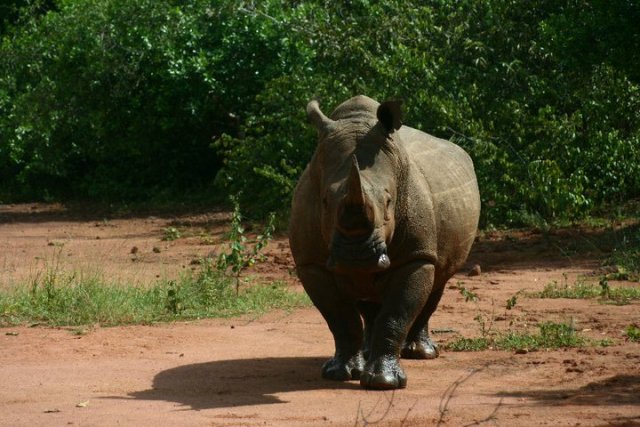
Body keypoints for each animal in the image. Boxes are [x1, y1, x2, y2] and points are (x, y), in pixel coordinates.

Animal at [289, 95, 480, 389]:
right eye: (324, 202)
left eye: (389, 201)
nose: (356, 255)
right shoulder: (311, 263)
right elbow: (340, 318)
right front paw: (339, 373)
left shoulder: (416, 256)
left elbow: (396, 314)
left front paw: (383, 382)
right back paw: (367, 354)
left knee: (438, 280)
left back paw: (421, 353)